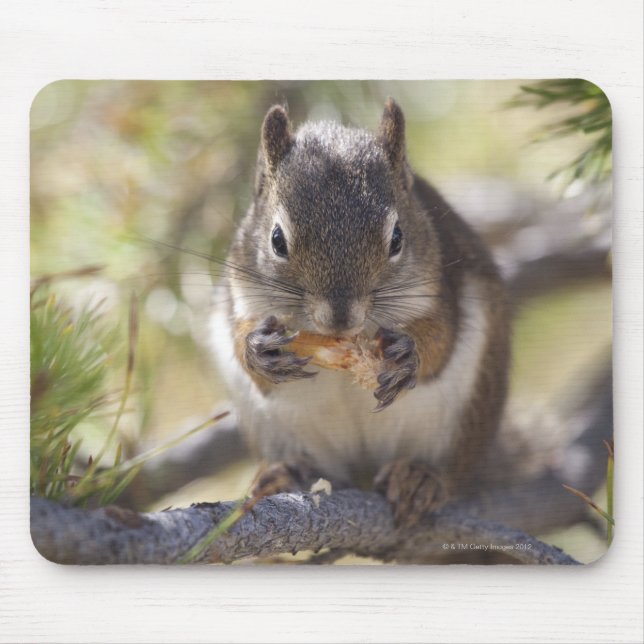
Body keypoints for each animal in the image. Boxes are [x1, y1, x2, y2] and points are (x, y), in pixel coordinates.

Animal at [210, 98, 510, 525]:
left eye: (397, 238)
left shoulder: (440, 289)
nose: (341, 318)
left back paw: (422, 479)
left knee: (453, 471)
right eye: (276, 240)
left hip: (469, 411)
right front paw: (258, 350)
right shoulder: (241, 293)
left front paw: (409, 356)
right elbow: (243, 342)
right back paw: (285, 472)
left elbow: (441, 340)